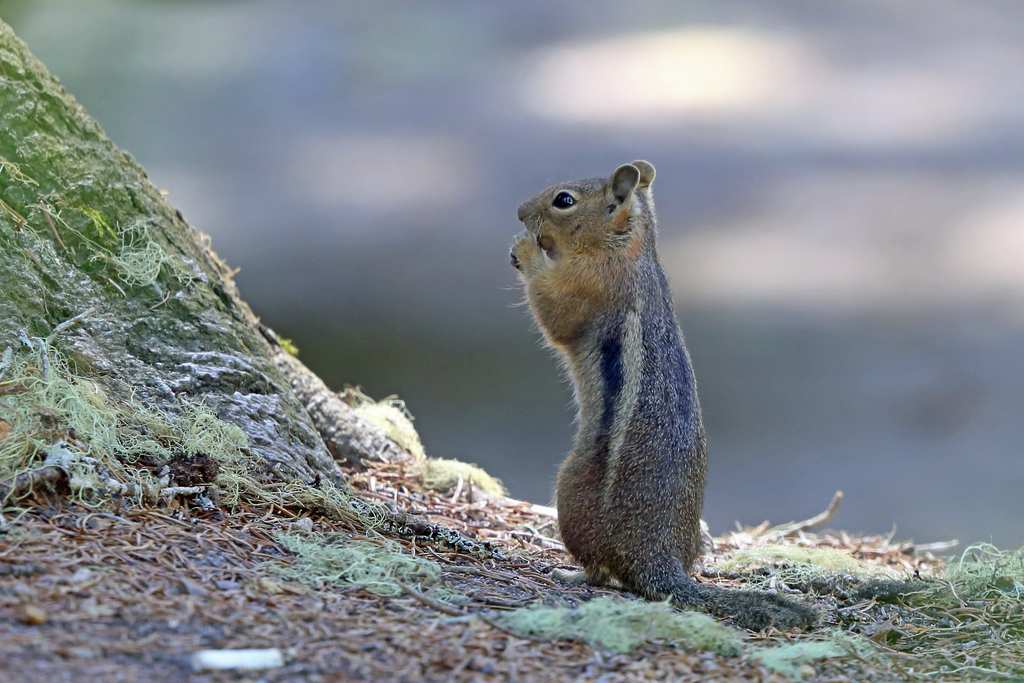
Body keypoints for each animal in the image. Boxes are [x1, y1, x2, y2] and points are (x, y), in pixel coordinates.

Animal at [511, 161, 817, 631]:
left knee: (601, 571)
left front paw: (525, 250)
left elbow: (554, 310)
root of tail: (658, 556)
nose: (521, 212)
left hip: (570, 492)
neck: (629, 248)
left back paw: (569, 572)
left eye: (564, 200)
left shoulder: (588, 284)